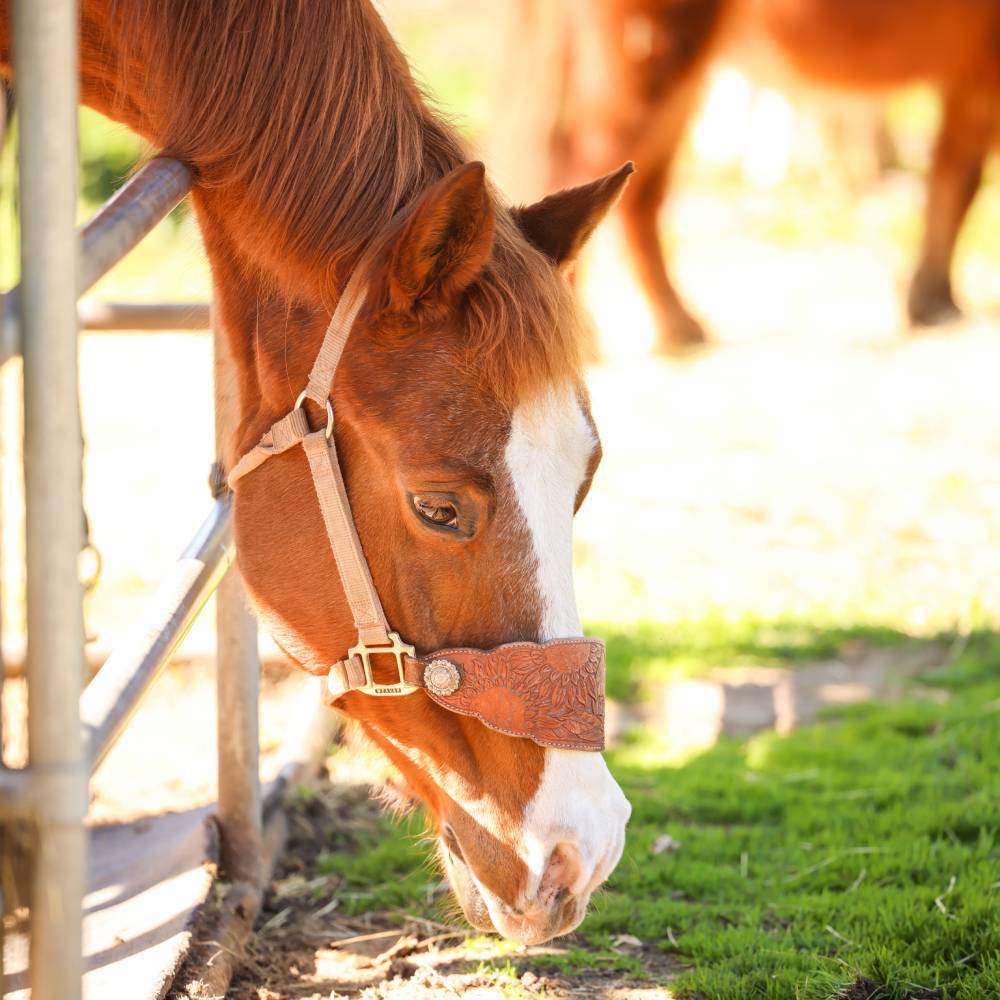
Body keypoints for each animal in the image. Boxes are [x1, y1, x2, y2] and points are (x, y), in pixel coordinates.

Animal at [504, 0, 1000, 352]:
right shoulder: (982, 74)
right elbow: (960, 180)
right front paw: (935, 301)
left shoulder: (970, 74)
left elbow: (951, 175)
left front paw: (930, 299)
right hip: (653, 60)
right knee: (584, 166)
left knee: (635, 190)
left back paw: (677, 324)